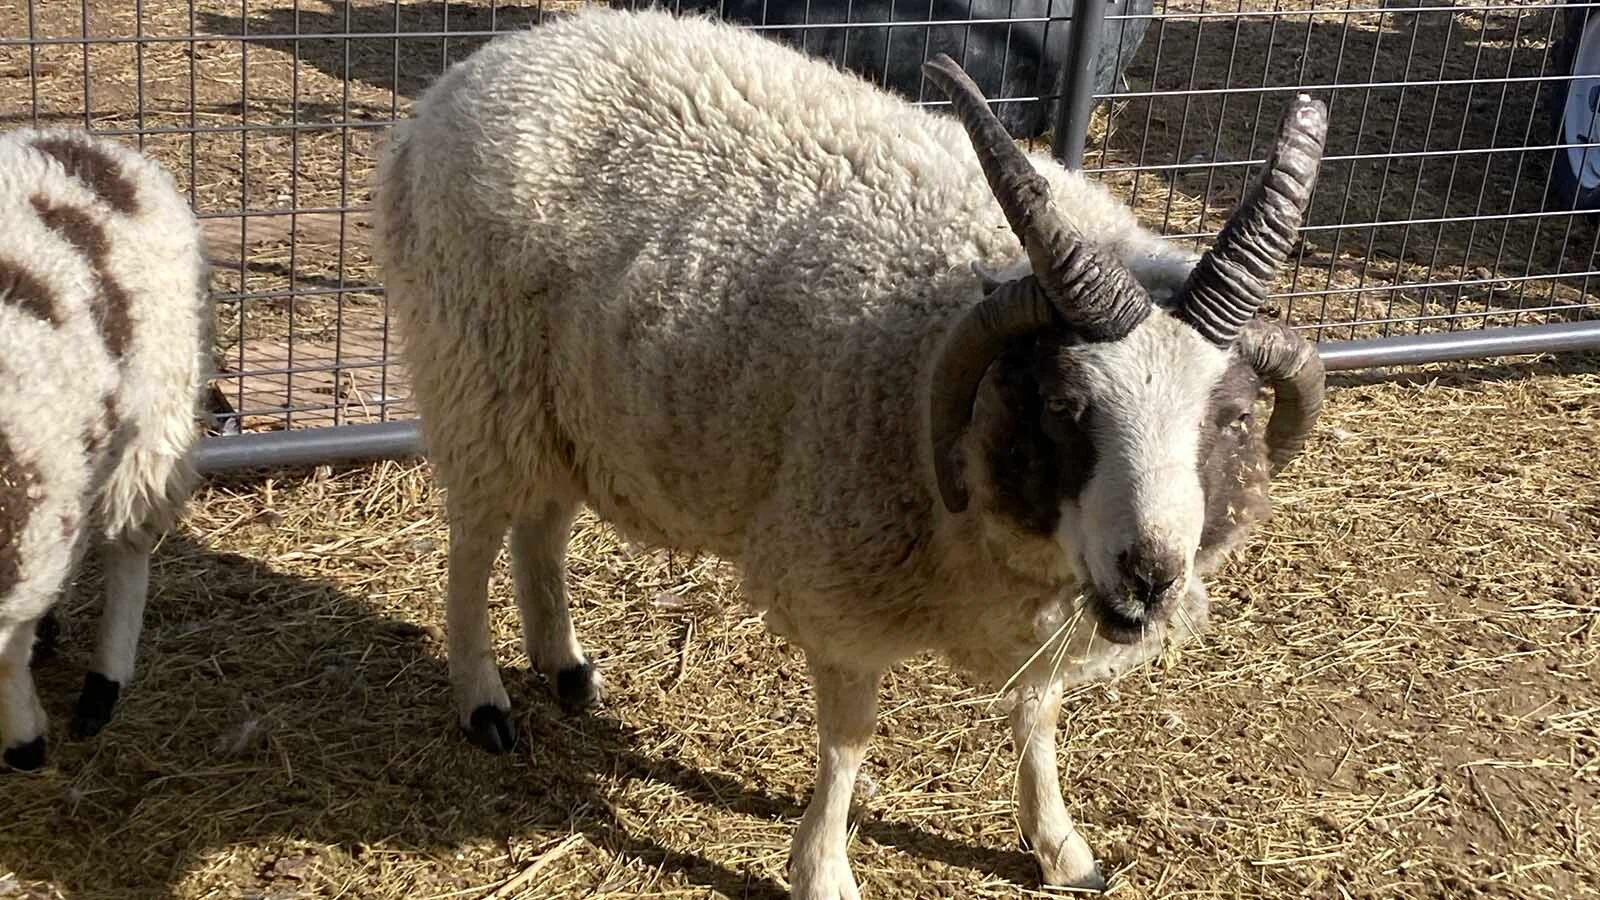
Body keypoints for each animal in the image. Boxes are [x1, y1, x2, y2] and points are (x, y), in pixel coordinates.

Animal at [0, 127, 211, 772]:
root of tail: (85, 142)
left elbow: (6, 655)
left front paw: (25, 741)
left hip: (158, 411)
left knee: (129, 545)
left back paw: (103, 685)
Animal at [371, 8, 1326, 896]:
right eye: (1065, 407)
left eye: (1231, 418)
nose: (1150, 578)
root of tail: (480, 69)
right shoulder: (842, 585)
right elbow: (848, 743)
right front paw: (824, 868)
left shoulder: (1049, 607)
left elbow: (1039, 717)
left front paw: (1060, 846)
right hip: (477, 377)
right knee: (473, 541)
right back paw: (483, 700)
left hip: (564, 400)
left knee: (544, 524)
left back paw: (564, 666)